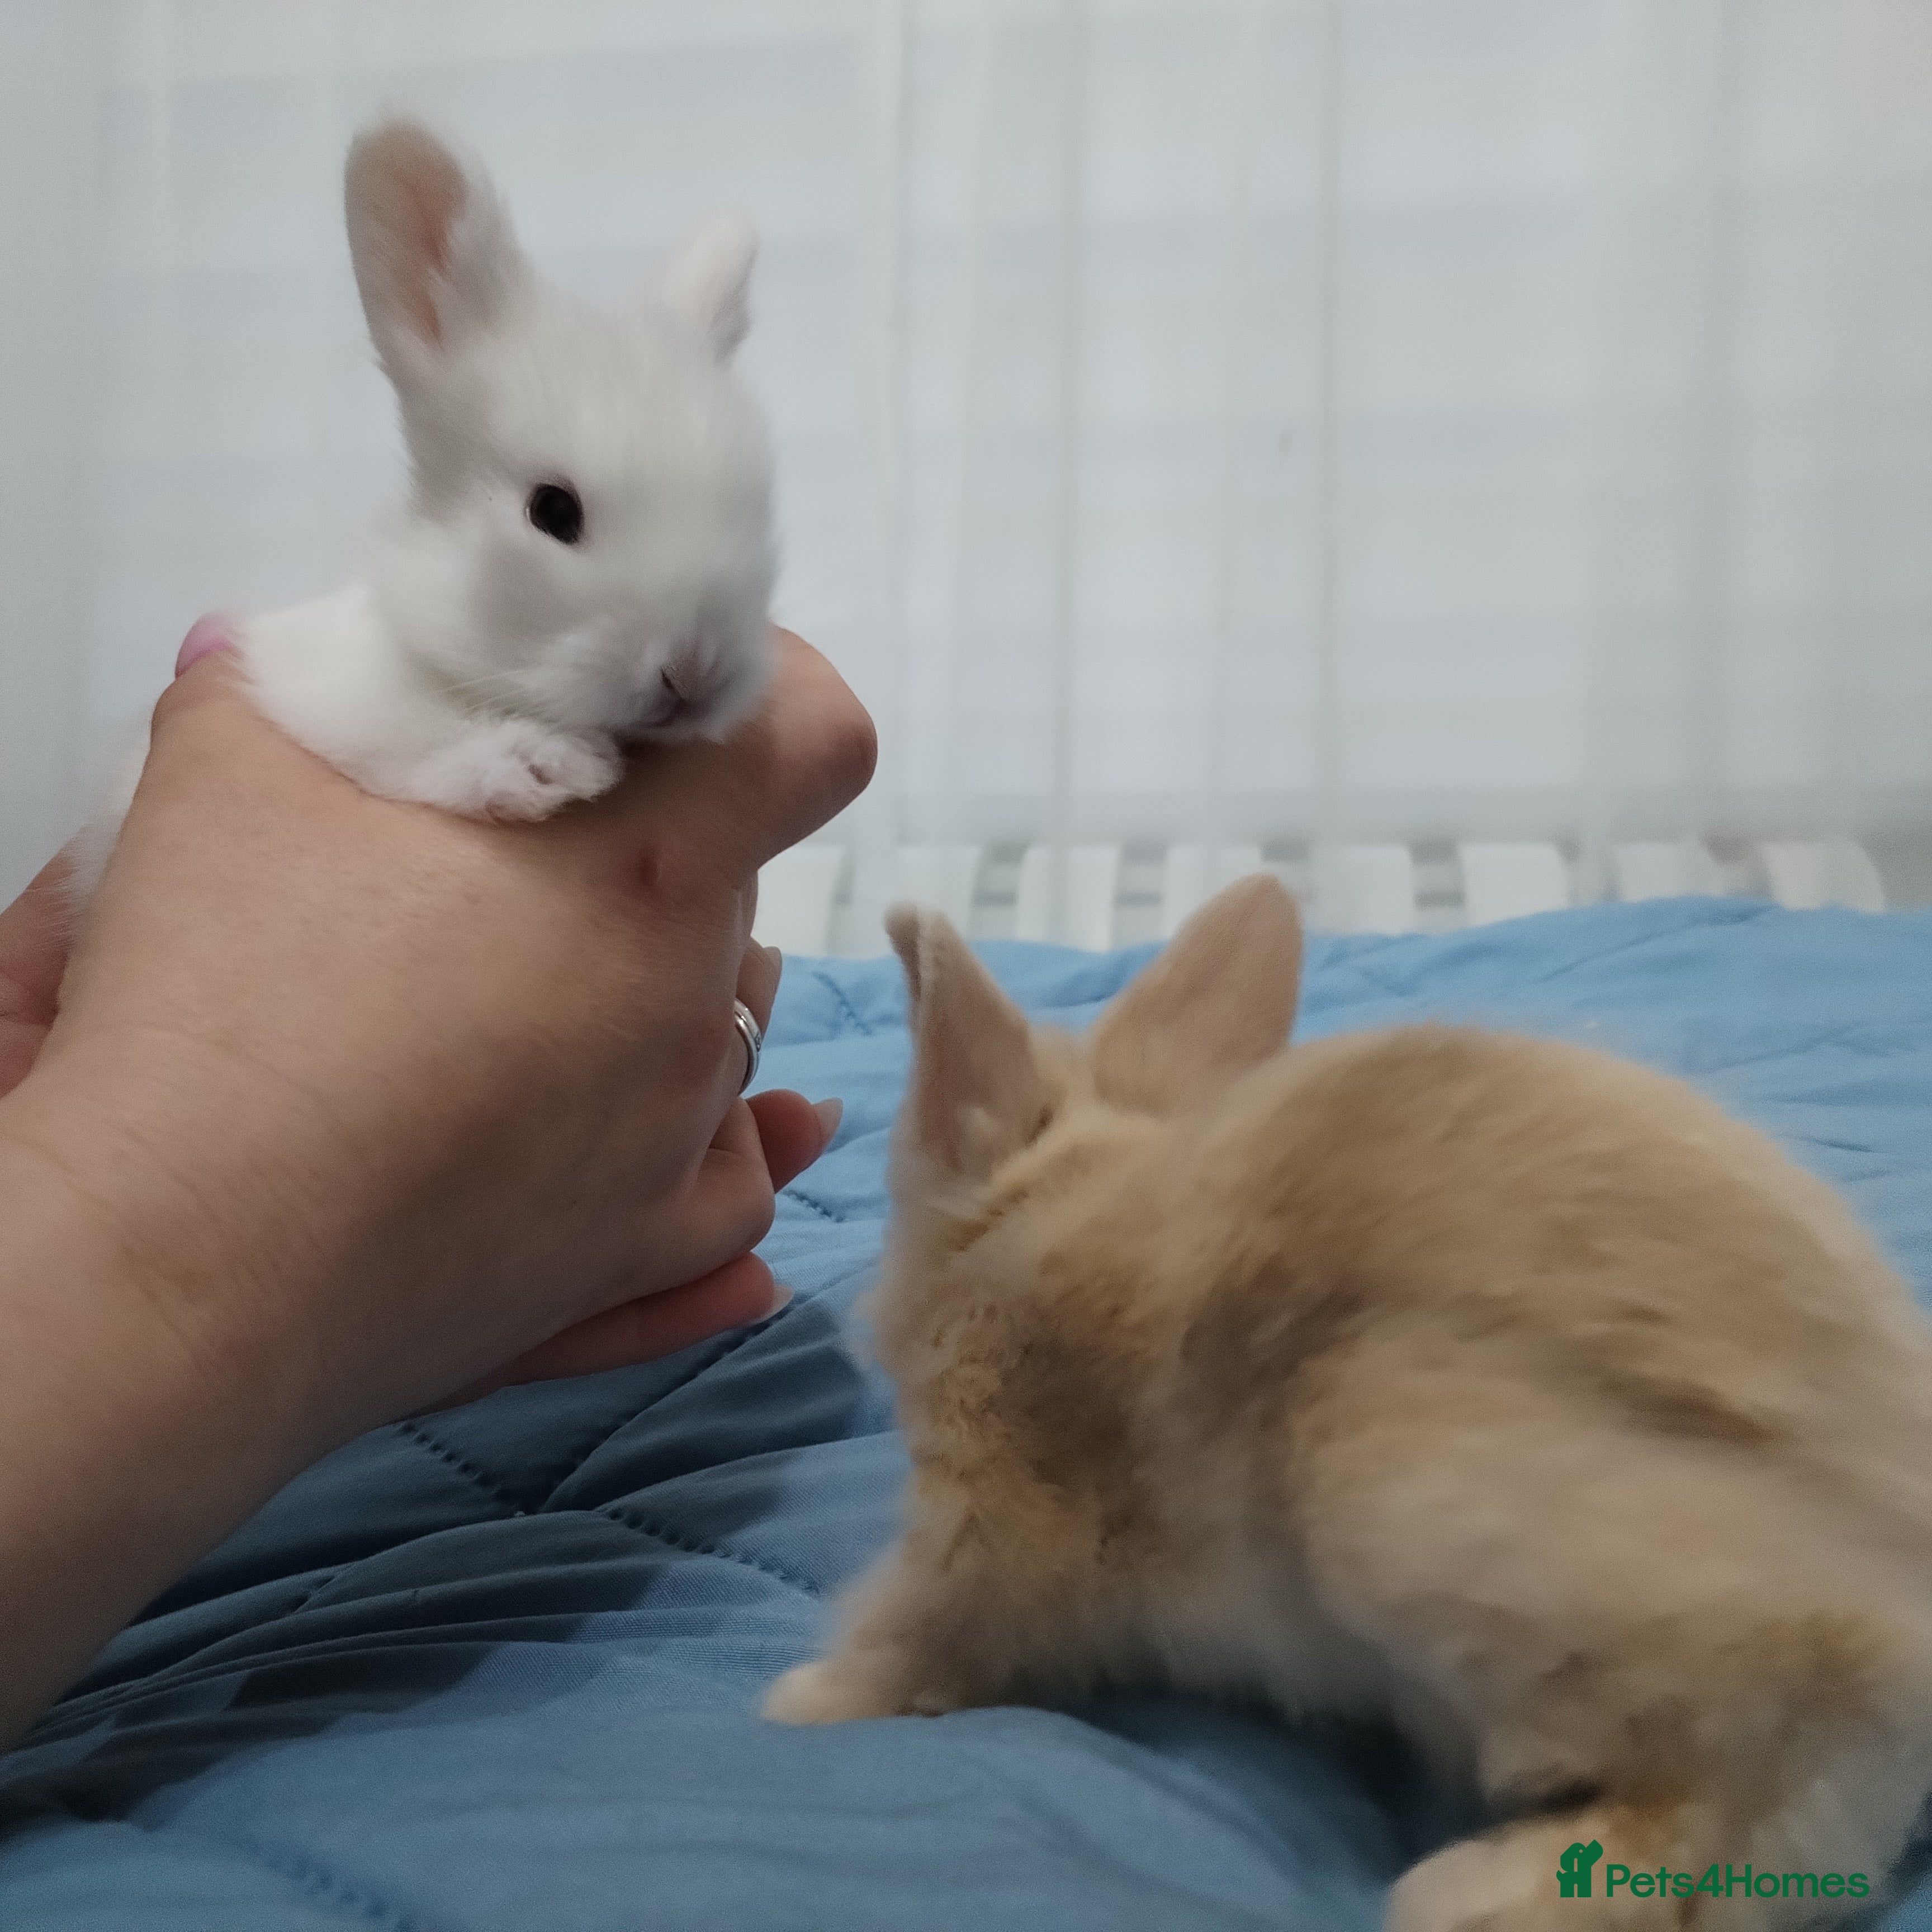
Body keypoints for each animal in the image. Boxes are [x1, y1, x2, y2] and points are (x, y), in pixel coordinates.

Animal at [69, 118, 777, 907]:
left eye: (756, 502)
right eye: (552, 510)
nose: (695, 673)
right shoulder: (323, 687)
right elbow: (402, 734)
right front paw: (543, 765)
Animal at [764, 873, 1932, 1930]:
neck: (1042, 1213)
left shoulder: (988, 1537)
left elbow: (918, 1638)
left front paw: (798, 1703)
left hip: (1377, 1479)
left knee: (1786, 1779)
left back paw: (1480, 1891)